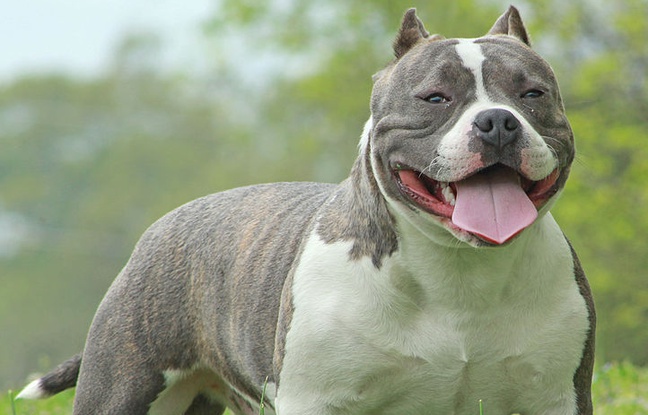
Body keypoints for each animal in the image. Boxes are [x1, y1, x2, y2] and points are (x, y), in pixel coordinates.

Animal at [19, 6, 596, 415]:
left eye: (533, 93)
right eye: (435, 98)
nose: (498, 121)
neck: (460, 272)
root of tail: (161, 226)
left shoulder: (556, 398)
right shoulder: (315, 399)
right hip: (122, 384)